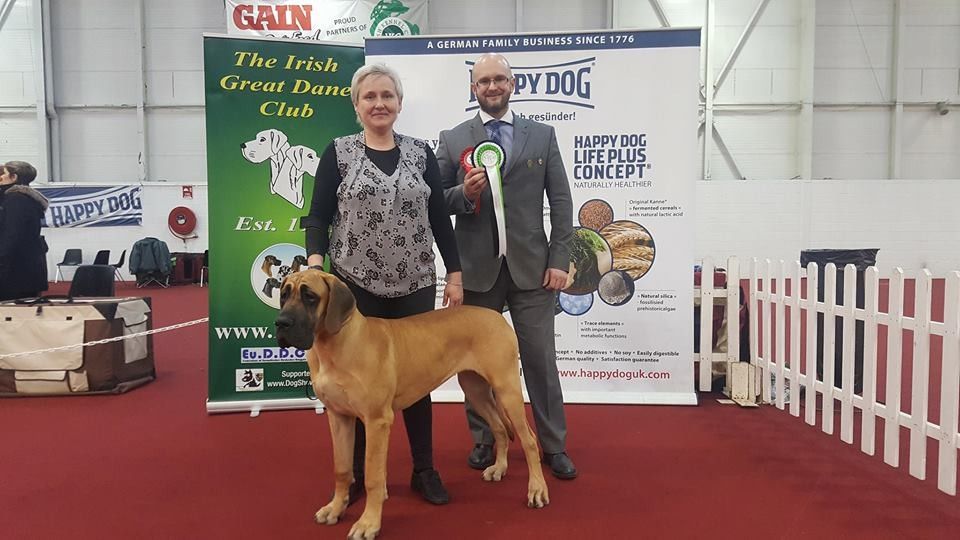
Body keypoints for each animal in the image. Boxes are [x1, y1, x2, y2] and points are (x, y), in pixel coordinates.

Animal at [275, 269, 549, 540]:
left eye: (310, 297)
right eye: (284, 295)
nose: (281, 323)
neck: (333, 344)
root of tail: (498, 317)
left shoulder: (377, 421)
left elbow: (373, 476)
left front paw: (368, 523)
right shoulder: (338, 416)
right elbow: (341, 468)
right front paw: (335, 508)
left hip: (507, 389)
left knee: (529, 440)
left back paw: (537, 489)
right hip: (475, 389)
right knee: (500, 427)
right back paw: (499, 468)